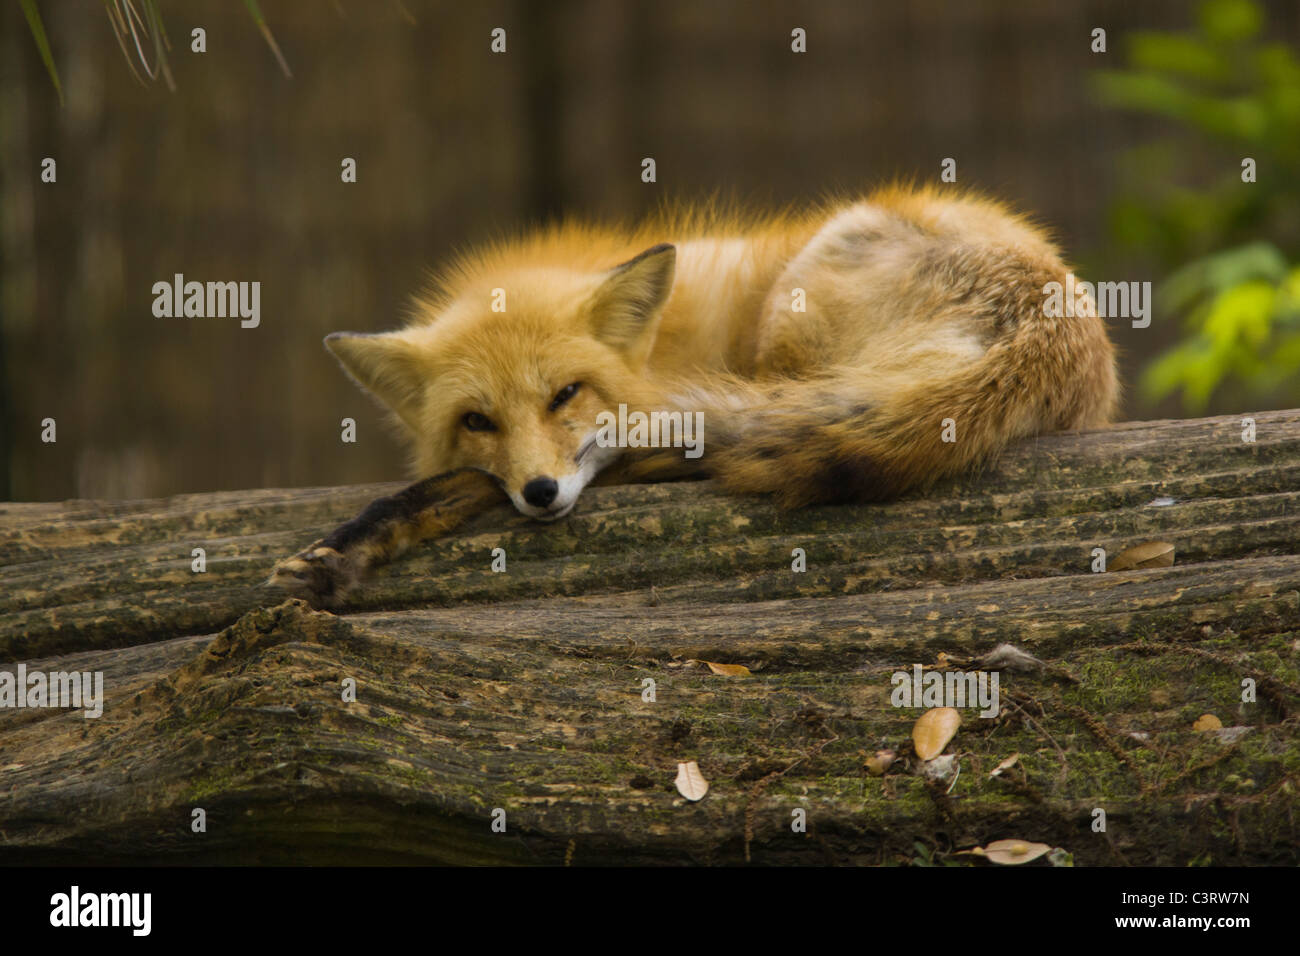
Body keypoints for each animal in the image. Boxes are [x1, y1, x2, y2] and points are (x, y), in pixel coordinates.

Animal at [271, 185, 1118, 606]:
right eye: (478, 420)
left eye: (565, 394)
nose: (541, 493)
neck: (662, 345)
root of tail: (1051, 324)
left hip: (794, 314)